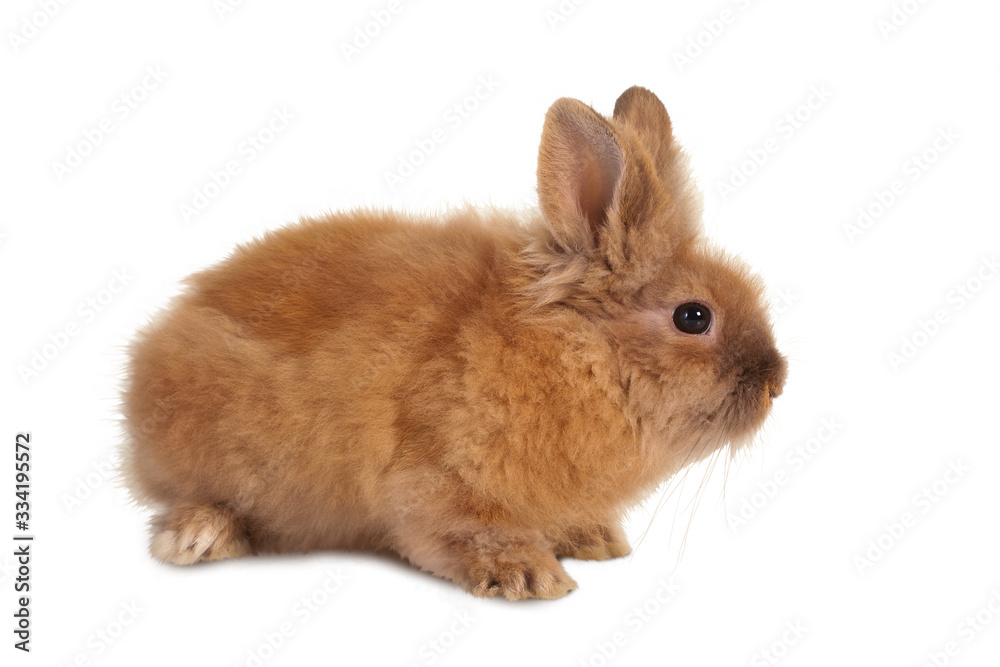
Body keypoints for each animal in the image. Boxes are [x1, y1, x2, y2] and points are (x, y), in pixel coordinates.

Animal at [121, 85, 787, 600]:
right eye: (694, 317)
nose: (777, 382)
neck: (577, 355)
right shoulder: (437, 482)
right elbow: (458, 529)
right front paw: (528, 576)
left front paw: (595, 540)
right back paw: (199, 535)